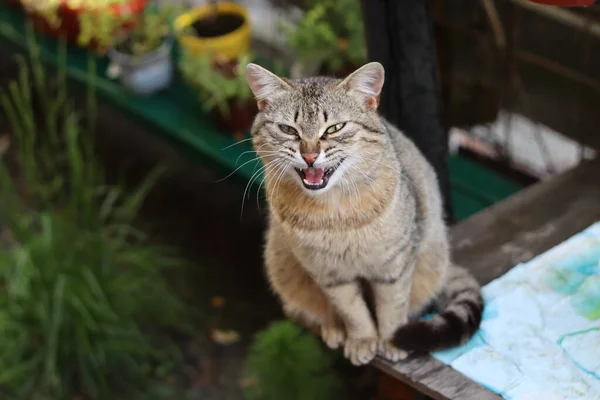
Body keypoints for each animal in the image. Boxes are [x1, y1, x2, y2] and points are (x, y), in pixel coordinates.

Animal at [244, 61, 482, 366]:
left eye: (334, 128)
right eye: (288, 129)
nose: (309, 156)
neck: (334, 214)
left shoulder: (395, 264)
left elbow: (392, 306)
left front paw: (391, 339)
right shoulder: (329, 274)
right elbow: (353, 311)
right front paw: (363, 339)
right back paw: (333, 328)